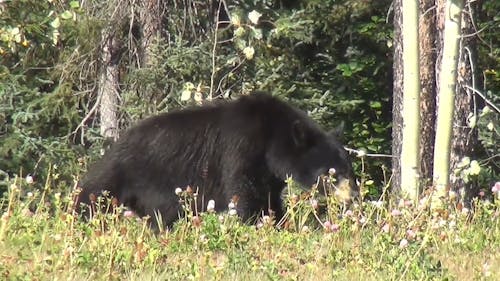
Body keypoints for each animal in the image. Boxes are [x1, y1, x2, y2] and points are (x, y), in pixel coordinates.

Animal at [76, 92, 358, 228]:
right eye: (331, 173)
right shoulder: (241, 149)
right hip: (122, 173)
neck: (272, 139)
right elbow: (247, 195)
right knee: (92, 195)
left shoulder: (269, 173)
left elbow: (269, 199)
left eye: (349, 170)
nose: (353, 197)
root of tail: (116, 142)